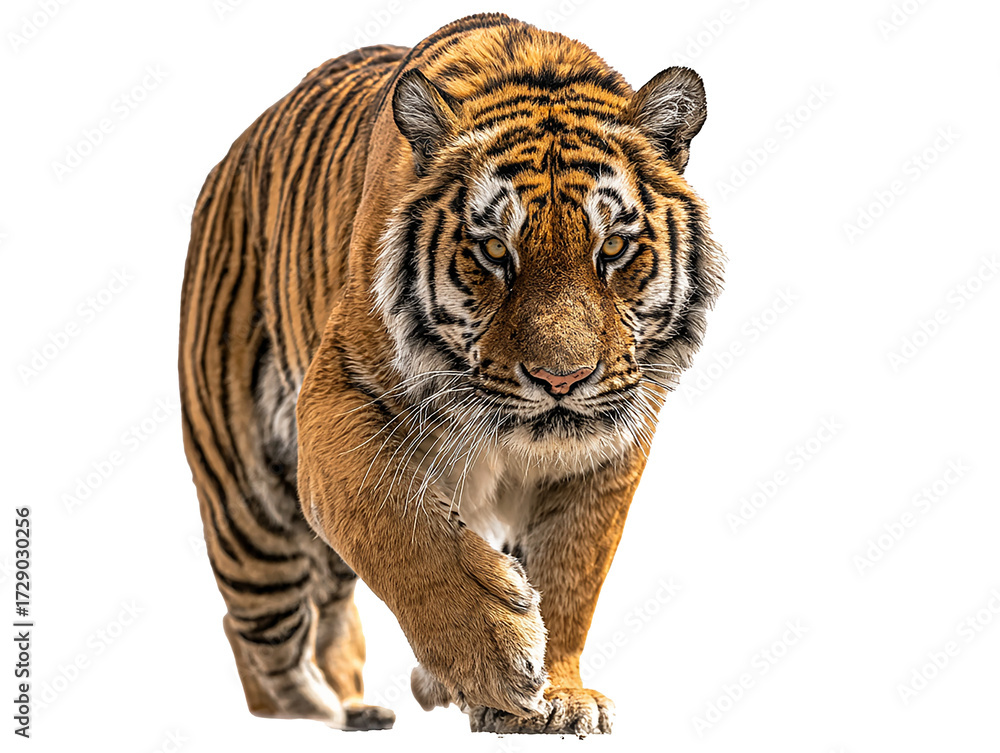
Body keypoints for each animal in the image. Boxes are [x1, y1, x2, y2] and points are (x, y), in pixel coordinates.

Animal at [178, 12, 723, 735]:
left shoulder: (611, 445)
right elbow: (396, 523)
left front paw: (557, 694)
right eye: (493, 249)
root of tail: (231, 155)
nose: (562, 380)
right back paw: (311, 715)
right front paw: (497, 660)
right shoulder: (337, 396)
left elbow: (571, 569)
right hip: (247, 505)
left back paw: (361, 708)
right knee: (261, 636)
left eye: (612, 247)